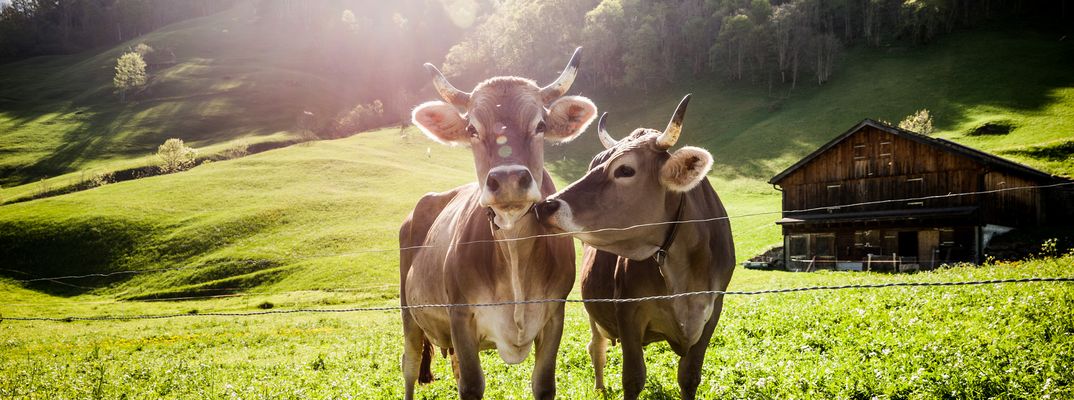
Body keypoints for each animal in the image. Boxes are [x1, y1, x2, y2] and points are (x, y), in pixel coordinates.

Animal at [399, 48, 598, 400]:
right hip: (409, 313)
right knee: (409, 365)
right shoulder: (460, 315)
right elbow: (471, 385)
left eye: (540, 124)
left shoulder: (554, 315)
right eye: (471, 129)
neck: (514, 249)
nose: (507, 180)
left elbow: (544, 384)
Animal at [534, 95, 735, 400]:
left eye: (625, 170)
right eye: (595, 164)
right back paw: (600, 388)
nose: (545, 206)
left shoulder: (712, 312)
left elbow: (689, 377)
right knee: (596, 347)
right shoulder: (627, 311)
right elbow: (633, 378)